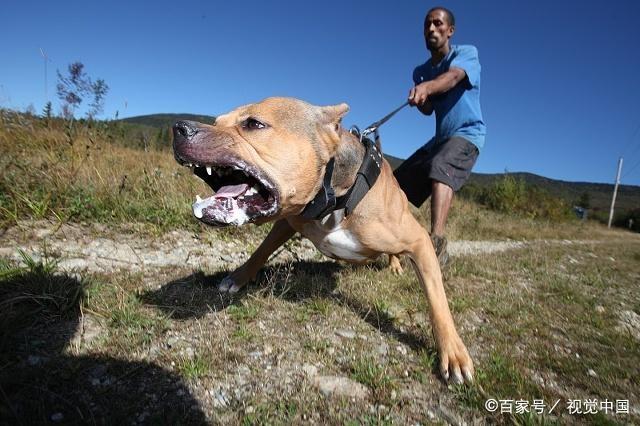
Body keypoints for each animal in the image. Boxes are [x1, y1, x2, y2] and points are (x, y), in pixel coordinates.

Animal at [172, 98, 472, 384]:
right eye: (217, 121)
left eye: (254, 124)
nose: (179, 127)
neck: (337, 195)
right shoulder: (288, 221)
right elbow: (261, 250)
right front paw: (239, 276)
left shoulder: (420, 241)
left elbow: (437, 300)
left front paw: (453, 352)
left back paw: (395, 265)